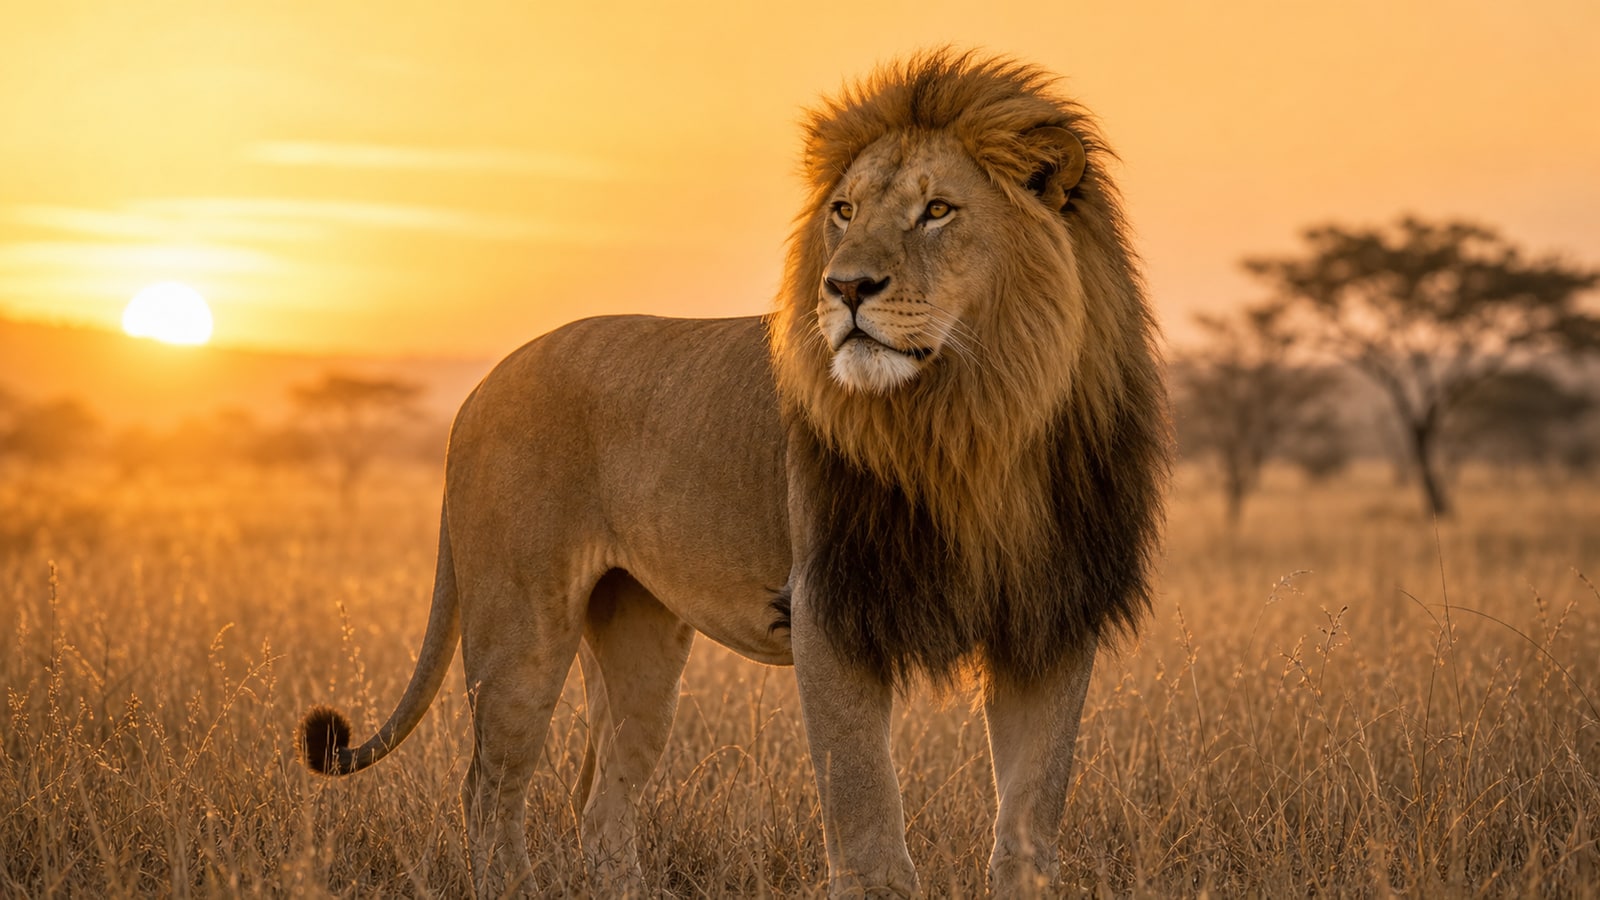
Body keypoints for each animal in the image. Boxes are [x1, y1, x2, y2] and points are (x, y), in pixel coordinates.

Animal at [299, 50, 1168, 897]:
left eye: (938, 211)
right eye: (843, 211)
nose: (845, 286)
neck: (973, 422)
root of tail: (480, 388)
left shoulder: (1050, 619)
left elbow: (1030, 823)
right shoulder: (829, 612)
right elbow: (866, 819)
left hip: (639, 637)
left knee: (598, 802)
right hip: (519, 627)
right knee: (489, 790)